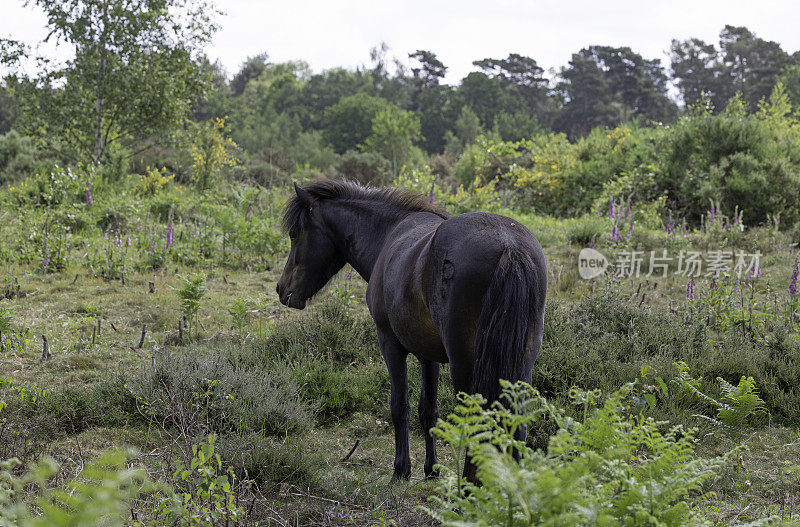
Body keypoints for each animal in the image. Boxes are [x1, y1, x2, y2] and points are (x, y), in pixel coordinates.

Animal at [278, 180, 548, 482]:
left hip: (465, 365)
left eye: (294, 234)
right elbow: (428, 410)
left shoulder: (390, 343)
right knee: (517, 422)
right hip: (521, 365)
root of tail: (509, 246)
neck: (387, 237)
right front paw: (431, 469)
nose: (281, 289)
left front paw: (401, 469)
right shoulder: (428, 355)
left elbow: (400, 406)